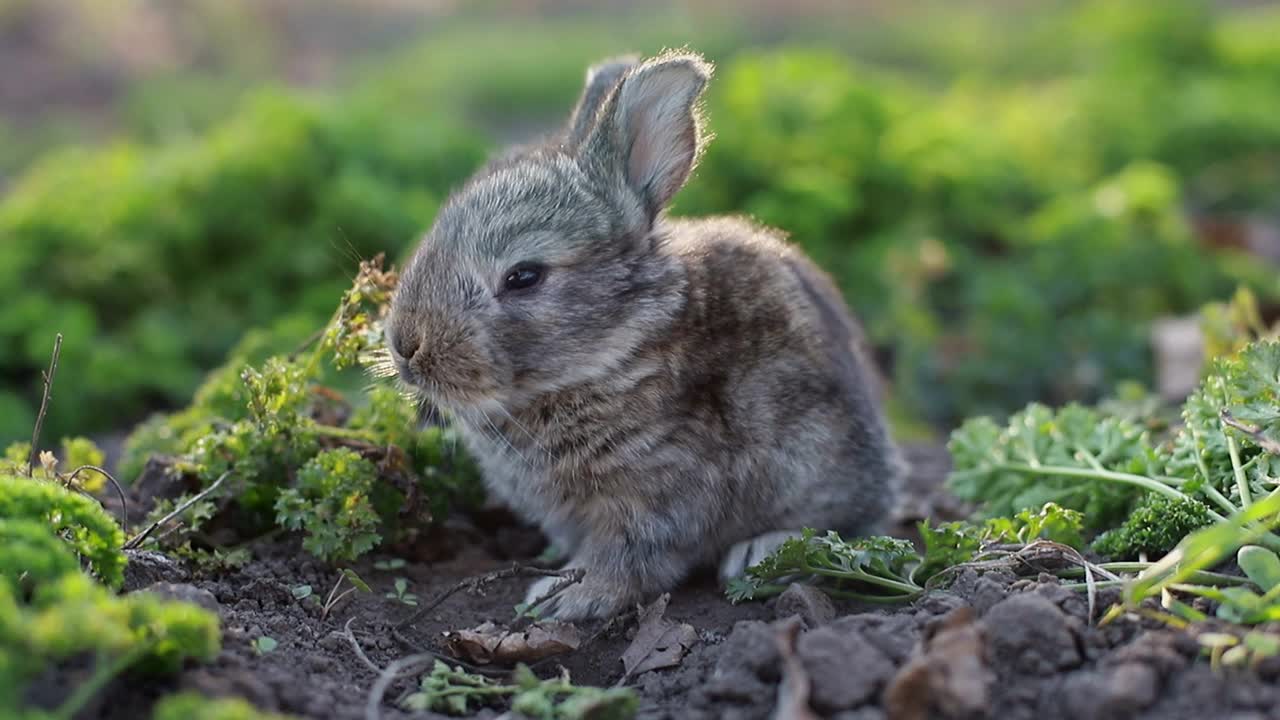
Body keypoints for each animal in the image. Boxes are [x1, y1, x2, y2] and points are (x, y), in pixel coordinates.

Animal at [384, 49, 906, 617]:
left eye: (523, 276)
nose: (406, 346)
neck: (619, 350)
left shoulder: (660, 489)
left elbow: (629, 554)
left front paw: (565, 598)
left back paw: (761, 552)